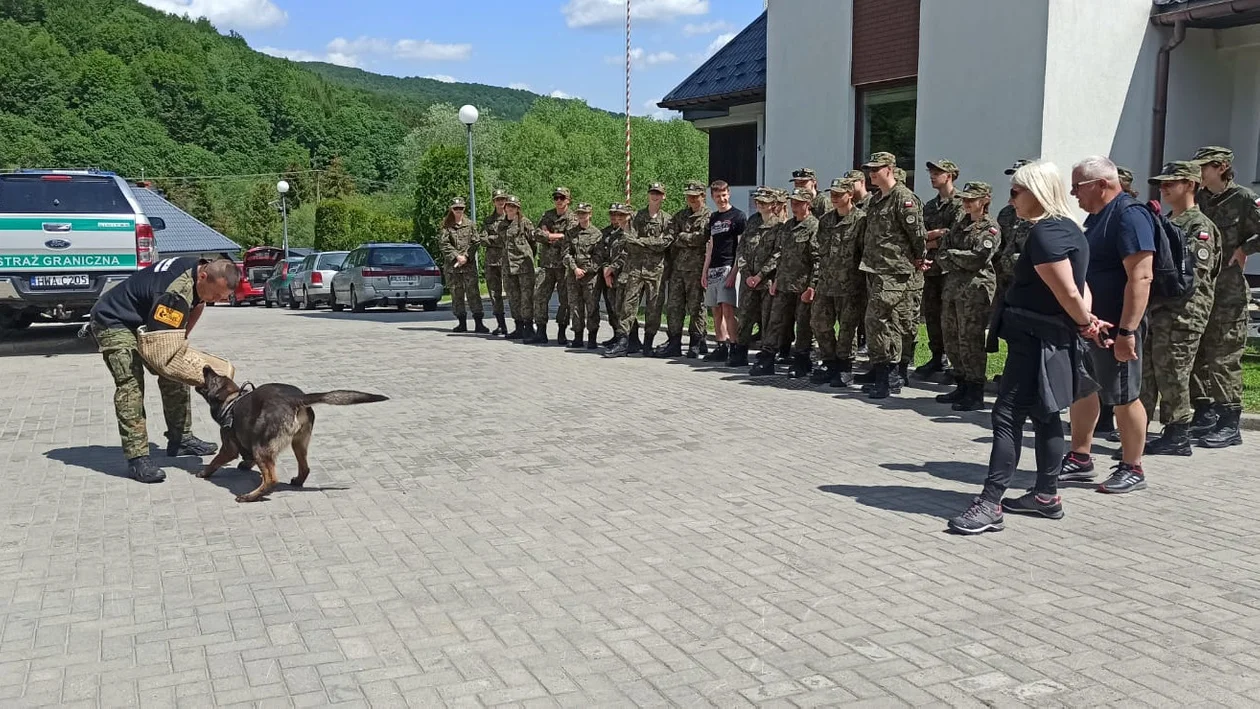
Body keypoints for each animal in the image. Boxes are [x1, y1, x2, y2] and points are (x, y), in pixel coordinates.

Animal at [191, 370, 385, 501]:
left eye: (213, 378)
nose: (206, 366)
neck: (231, 400)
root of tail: (296, 398)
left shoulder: (229, 448)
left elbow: (215, 461)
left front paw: (204, 472)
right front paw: (246, 464)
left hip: (261, 447)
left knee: (271, 479)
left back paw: (250, 496)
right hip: (298, 443)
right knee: (305, 468)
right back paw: (297, 481)